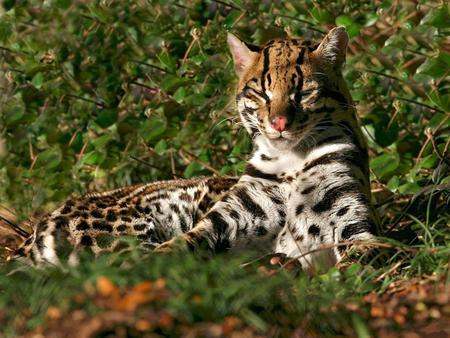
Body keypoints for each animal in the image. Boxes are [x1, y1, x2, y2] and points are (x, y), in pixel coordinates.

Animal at [14, 26, 376, 268]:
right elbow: (179, 246)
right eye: (261, 93)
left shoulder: (354, 223)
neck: (290, 160)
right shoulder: (226, 220)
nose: (279, 123)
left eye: (303, 92)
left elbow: (362, 255)